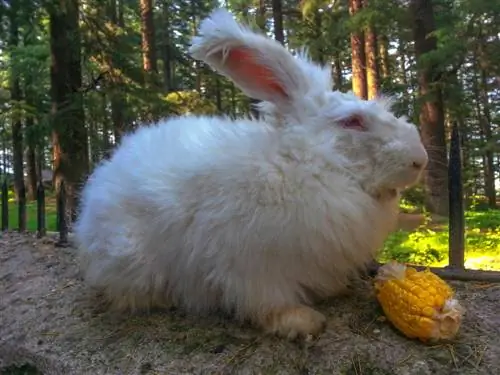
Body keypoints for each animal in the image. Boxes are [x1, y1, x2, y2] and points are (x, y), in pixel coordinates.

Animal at [73, 8, 426, 340]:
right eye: (352, 121)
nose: (419, 160)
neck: (304, 162)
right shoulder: (253, 267)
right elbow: (267, 303)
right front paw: (303, 322)